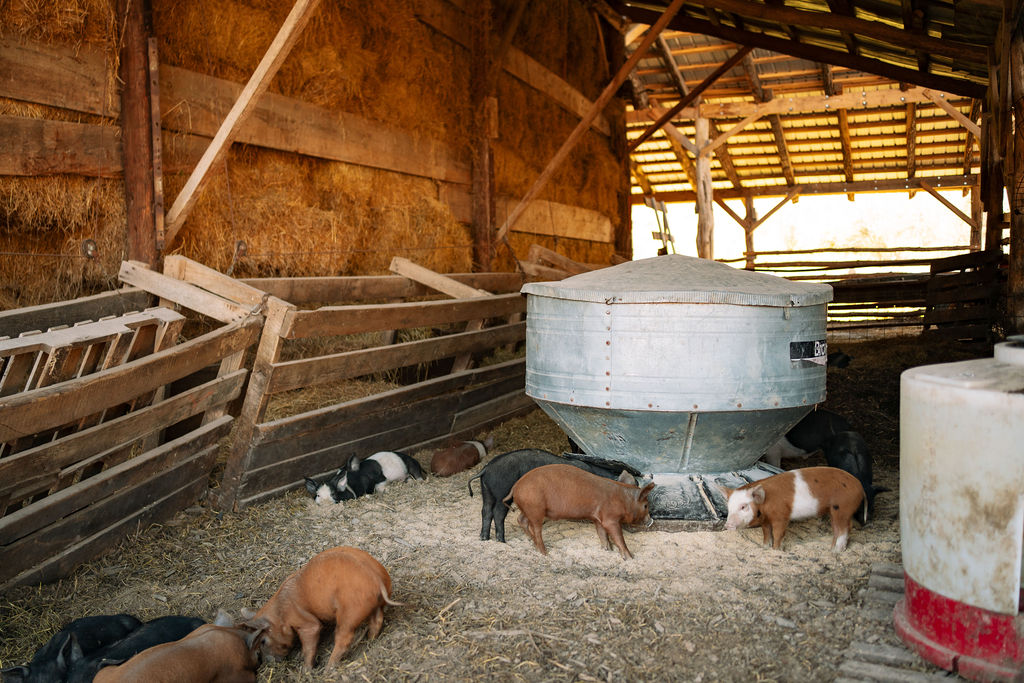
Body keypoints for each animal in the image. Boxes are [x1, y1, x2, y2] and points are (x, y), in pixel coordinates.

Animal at [240, 546, 398, 670]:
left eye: (263, 641)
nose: (269, 662)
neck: (280, 614)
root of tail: (376, 578)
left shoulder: (305, 622)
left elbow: (310, 640)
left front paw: (306, 670)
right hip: (375, 605)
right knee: (377, 621)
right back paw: (371, 640)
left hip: (349, 612)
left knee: (344, 638)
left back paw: (328, 668)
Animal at [468, 449, 634, 543]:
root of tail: (486, 469)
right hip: (502, 491)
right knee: (497, 513)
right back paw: (501, 541)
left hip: (487, 492)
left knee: (486, 511)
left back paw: (484, 538)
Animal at [503, 463, 656, 559]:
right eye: (646, 505)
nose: (651, 521)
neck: (623, 500)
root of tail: (515, 486)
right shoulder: (610, 519)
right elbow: (618, 537)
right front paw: (630, 558)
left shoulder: (598, 518)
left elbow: (602, 534)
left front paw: (607, 550)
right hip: (536, 509)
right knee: (536, 529)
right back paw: (545, 553)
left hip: (528, 508)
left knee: (521, 520)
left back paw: (532, 542)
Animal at [719, 466, 865, 552]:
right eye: (729, 507)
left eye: (743, 506)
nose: (728, 525)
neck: (766, 504)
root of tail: (860, 485)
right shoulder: (766, 520)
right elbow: (766, 532)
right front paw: (765, 547)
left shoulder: (781, 516)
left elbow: (778, 533)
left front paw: (776, 550)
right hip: (834, 511)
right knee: (837, 528)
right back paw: (831, 549)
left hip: (843, 508)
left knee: (845, 528)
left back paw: (837, 551)